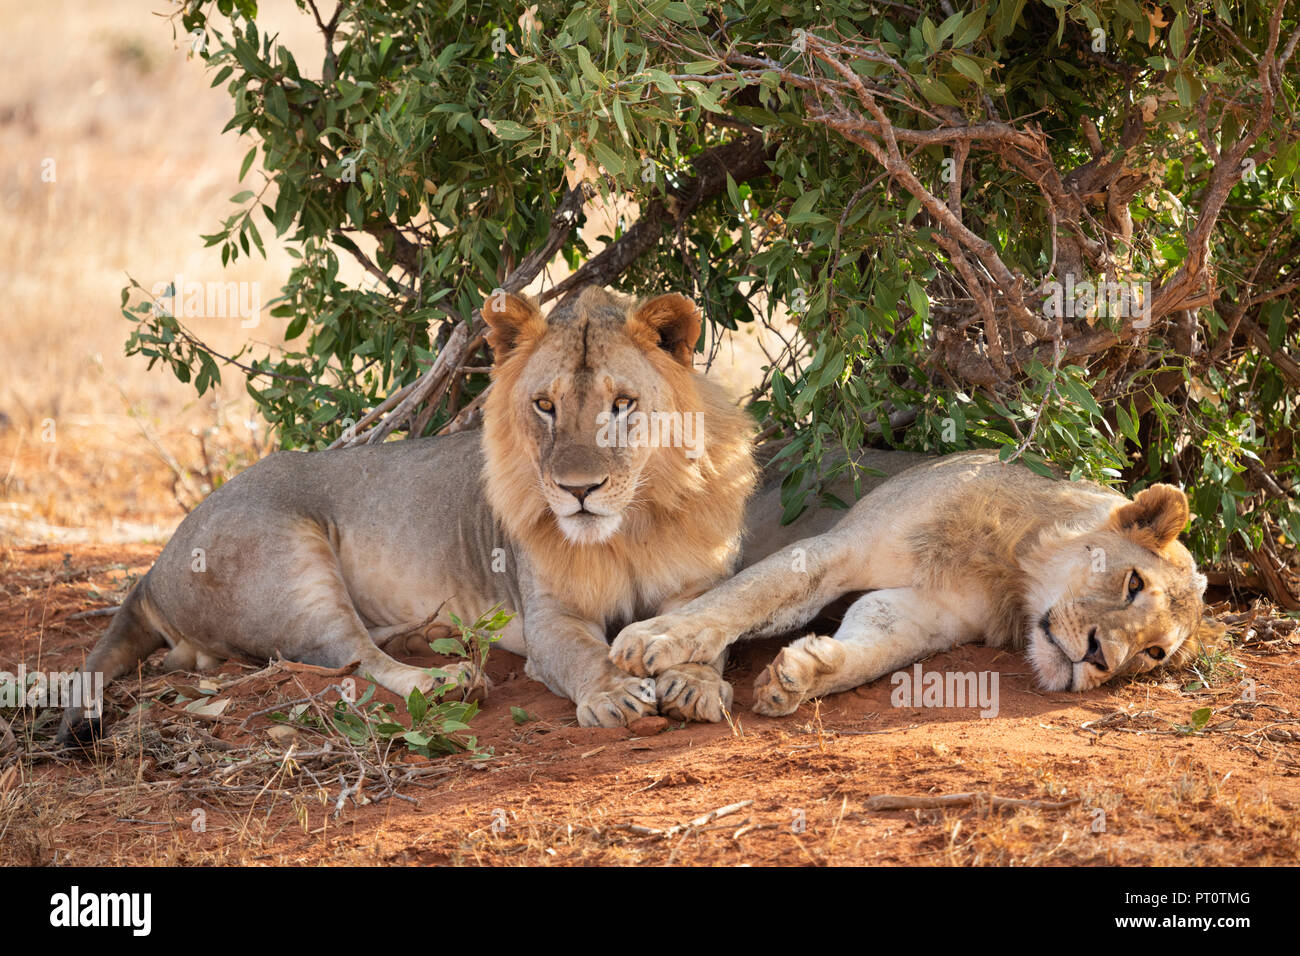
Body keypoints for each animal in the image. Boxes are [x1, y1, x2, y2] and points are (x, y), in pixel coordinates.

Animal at [58, 283, 754, 738]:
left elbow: (703, 626)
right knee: (350, 656)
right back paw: (446, 681)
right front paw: (614, 695)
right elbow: (584, 655)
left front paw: (693, 683)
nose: (578, 490)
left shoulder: (697, 584)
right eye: (545, 405)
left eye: (622, 403)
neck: (630, 526)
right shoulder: (550, 616)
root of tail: (152, 569)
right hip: (291, 562)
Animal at [608, 450, 1216, 717]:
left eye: (1154, 653)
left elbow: (874, 648)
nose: (1100, 660)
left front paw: (803, 675)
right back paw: (691, 682)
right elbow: (745, 597)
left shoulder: (927, 614)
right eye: (1133, 583)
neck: (1010, 568)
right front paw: (655, 638)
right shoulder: (844, 546)